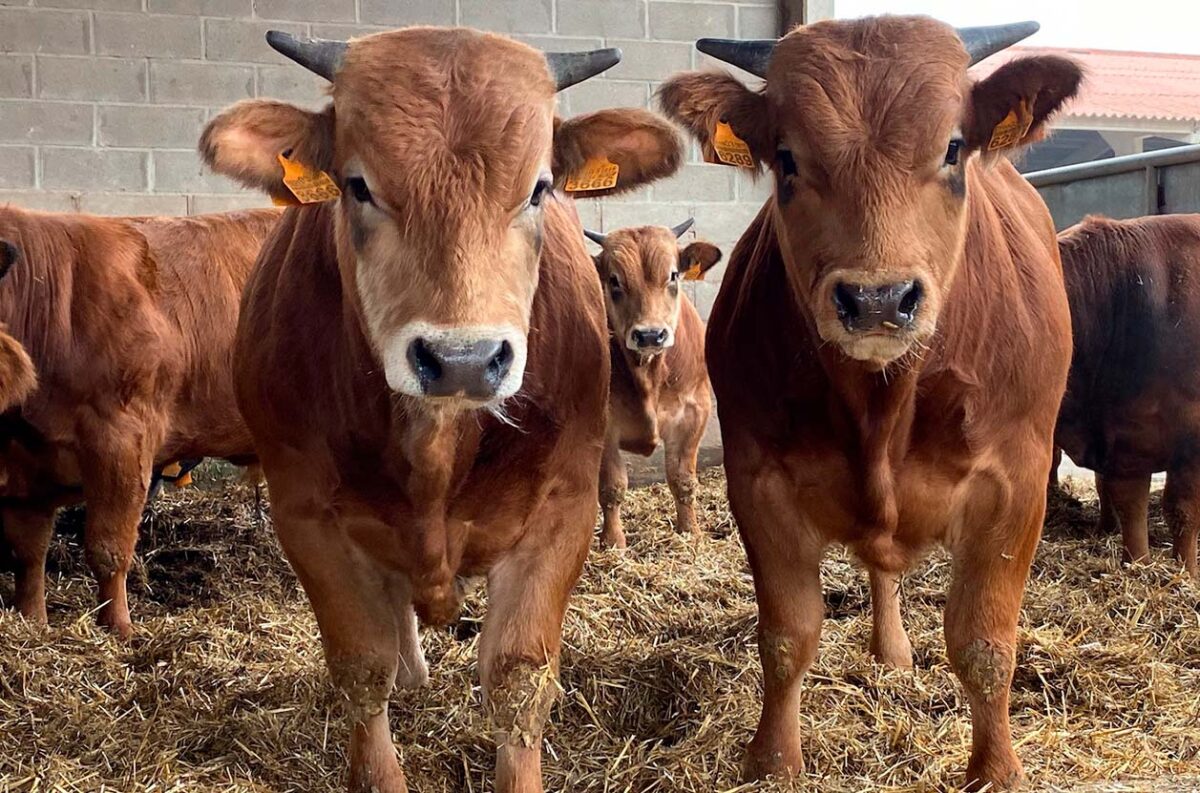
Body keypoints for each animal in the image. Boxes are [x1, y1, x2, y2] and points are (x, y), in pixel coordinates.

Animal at [0, 205, 278, 638]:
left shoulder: (120, 441)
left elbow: (108, 549)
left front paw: (118, 627)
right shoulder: (24, 463)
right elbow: (28, 553)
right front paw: (32, 620)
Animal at [199, 26, 686, 791]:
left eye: (539, 188)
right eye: (358, 185)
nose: (462, 358)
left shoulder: (563, 508)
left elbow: (518, 677)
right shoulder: (305, 515)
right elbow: (361, 667)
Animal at [583, 219, 720, 547]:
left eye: (673, 275)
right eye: (614, 280)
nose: (649, 335)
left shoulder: (695, 413)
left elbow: (683, 480)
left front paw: (690, 532)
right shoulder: (605, 425)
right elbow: (612, 487)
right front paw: (613, 542)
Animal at [662, 15, 1084, 787]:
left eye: (953, 148)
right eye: (787, 159)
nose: (879, 299)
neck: (883, 404)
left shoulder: (1018, 483)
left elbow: (984, 644)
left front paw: (997, 768)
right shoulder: (758, 479)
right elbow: (787, 635)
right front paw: (773, 761)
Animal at [1056, 212, 1200, 575]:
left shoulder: (1191, 439)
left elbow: (1183, 510)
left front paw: (1185, 572)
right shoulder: (1126, 439)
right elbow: (1128, 505)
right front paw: (1136, 564)